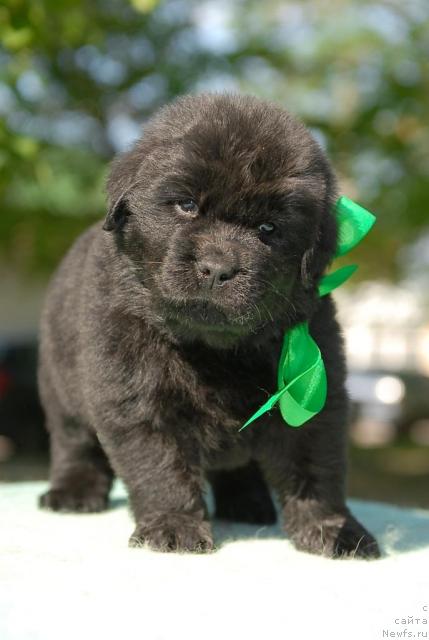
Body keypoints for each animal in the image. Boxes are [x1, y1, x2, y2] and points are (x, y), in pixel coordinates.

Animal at [37, 92, 378, 556]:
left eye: (268, 228)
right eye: (187, 205)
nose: (218, 268)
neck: (213, 349)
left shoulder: (314, 390)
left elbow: (317, 471)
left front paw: (334, 529)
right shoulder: (137, 397)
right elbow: (160, 468)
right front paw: (174, 527)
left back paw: (247, 502)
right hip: (61, 388)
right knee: (74, 443)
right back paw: (73, 492)